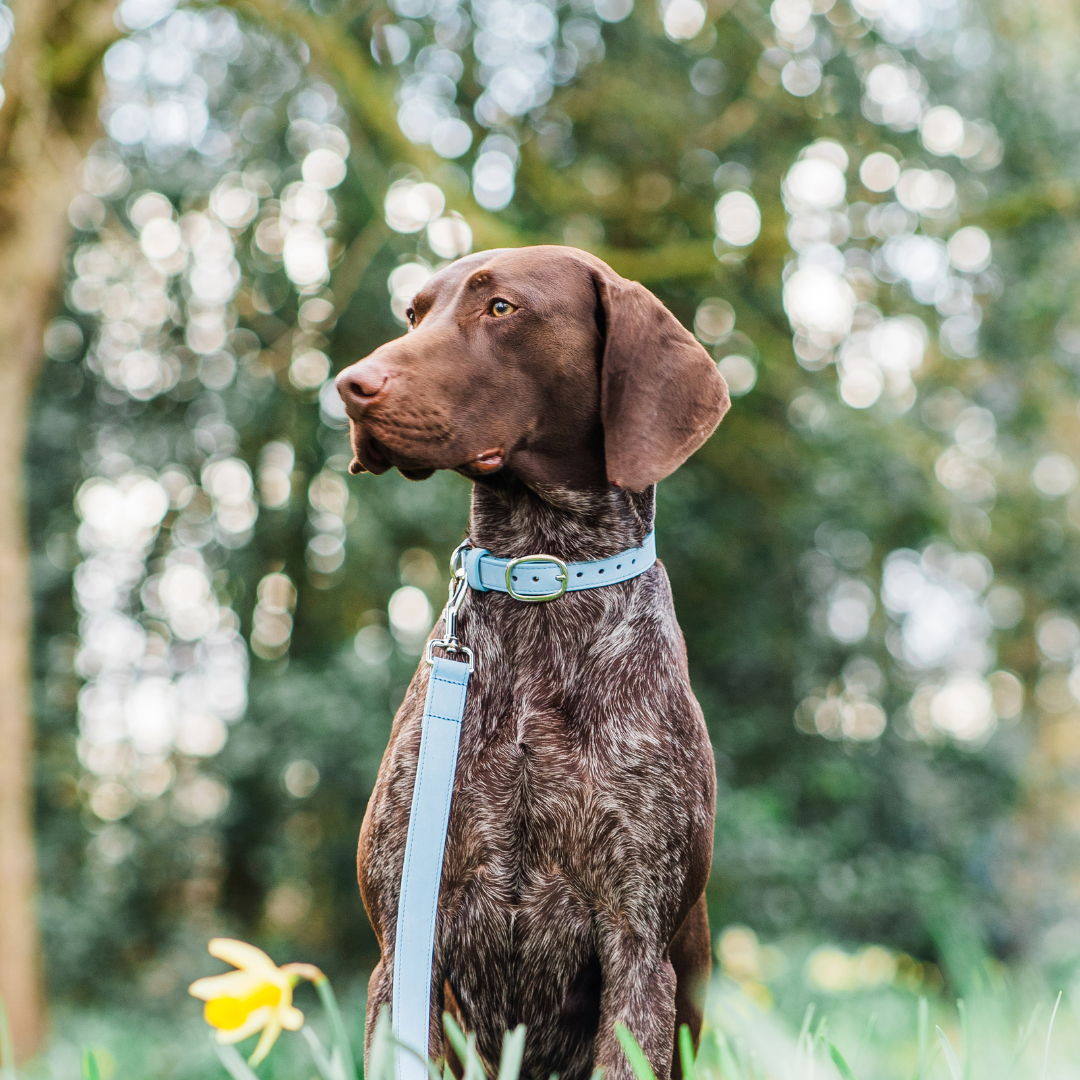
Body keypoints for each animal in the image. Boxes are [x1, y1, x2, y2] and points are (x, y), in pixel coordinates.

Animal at [334, 247, 725, 1080]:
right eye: (414, 314)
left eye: (503, 309)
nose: (351, 384)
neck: (541, 574)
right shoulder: (404, 947)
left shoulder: (637, 947)